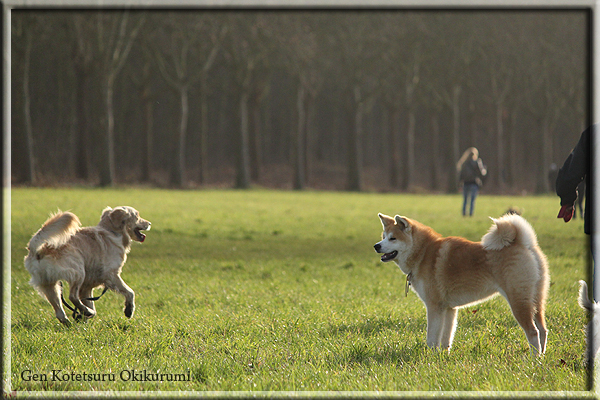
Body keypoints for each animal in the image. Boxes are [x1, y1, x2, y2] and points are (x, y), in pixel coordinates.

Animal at [376, 214, 548, 354]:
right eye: (384, 236)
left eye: (393, 238)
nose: (376, 246)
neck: (423, 253)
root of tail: (523, 243)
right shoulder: (449, 308)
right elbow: (446, 337)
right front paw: (443, 356)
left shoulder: (434, 306)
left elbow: (432, 337)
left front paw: (429, 357)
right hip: (536, 300)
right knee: (543, 330)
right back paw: (542, 356)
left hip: (519, 301)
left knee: (533, 332)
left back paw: (533, 359)